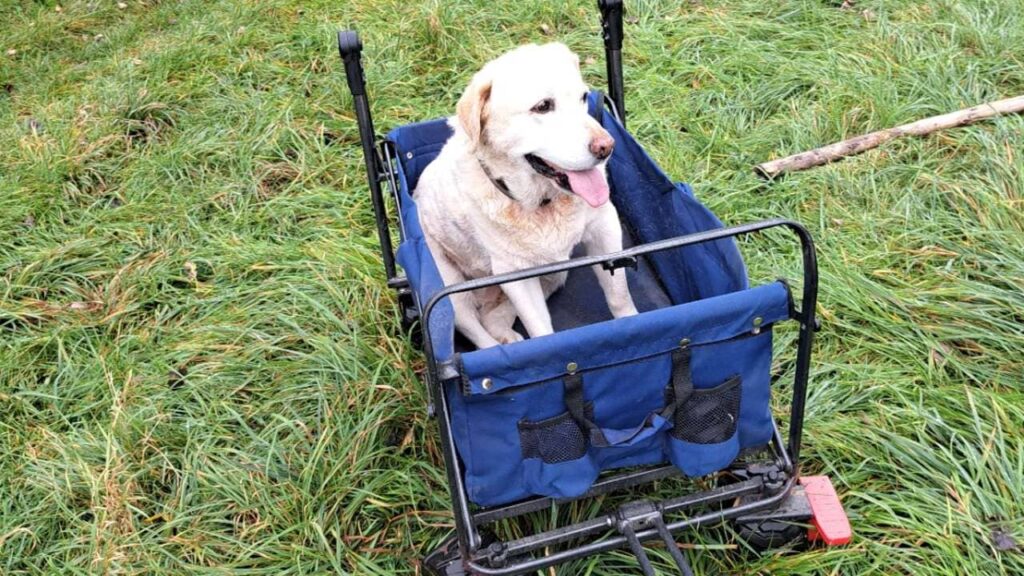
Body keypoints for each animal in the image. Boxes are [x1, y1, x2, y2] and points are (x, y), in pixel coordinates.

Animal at [411, 42, 634, 348]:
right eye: (543, 106)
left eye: (583, 97)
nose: (607, 147)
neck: (542, 202)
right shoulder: (516, 275)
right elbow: (541, 331)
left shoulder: (606, 230)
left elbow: (619, 295)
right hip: (448, 289)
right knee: (473, 328)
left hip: (553, 274)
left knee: (493, 316)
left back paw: (506, 335)